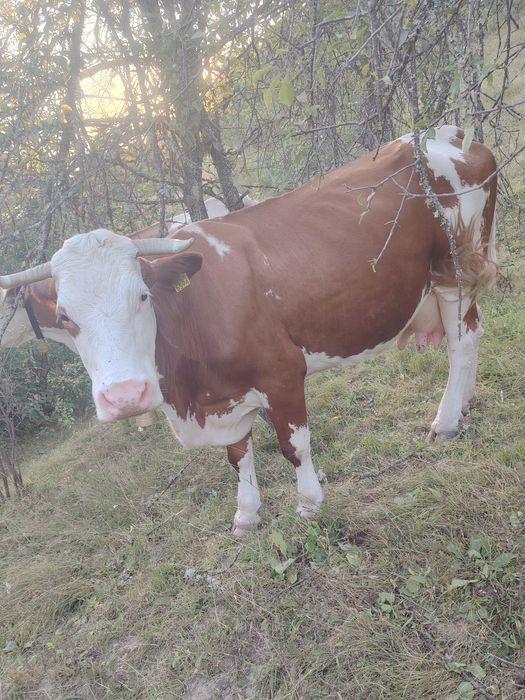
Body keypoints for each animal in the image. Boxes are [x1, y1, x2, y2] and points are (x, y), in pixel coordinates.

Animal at [0, 126, 497, 536]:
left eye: (143, 296)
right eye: (66, 314)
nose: (124, 397)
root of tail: (446, 133)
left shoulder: (282, 372)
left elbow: (293, 444)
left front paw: (310, 504)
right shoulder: (224, 394)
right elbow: (237, 455)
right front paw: (246, 514)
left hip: (455, 270)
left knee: (463, 341)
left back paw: (446, 421)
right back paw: (464, 404)